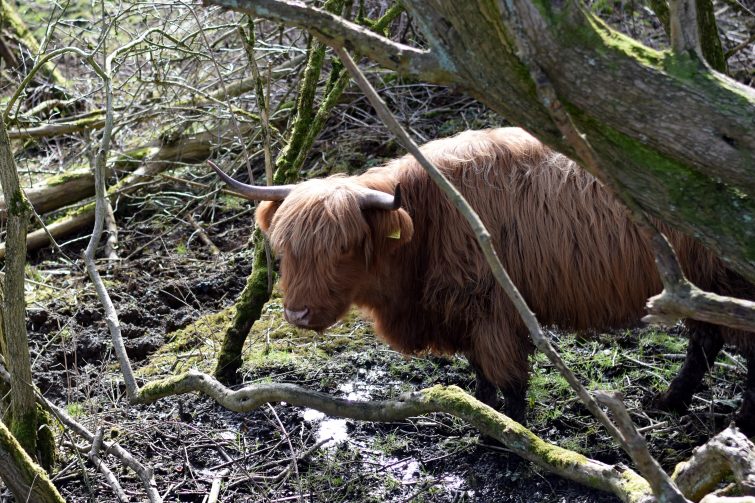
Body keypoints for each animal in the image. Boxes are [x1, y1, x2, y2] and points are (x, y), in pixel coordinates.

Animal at [210, 128, 755, 434]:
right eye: (285, 249)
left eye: (343, 247)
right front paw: (484, 413)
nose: (296, 313)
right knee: (705, 342)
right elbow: (481, 375)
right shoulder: (462, 310)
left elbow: (508, 376)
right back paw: (669, 402)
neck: (429, 222)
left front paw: (509, 437)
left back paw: (738, 421)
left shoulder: (495, 309)